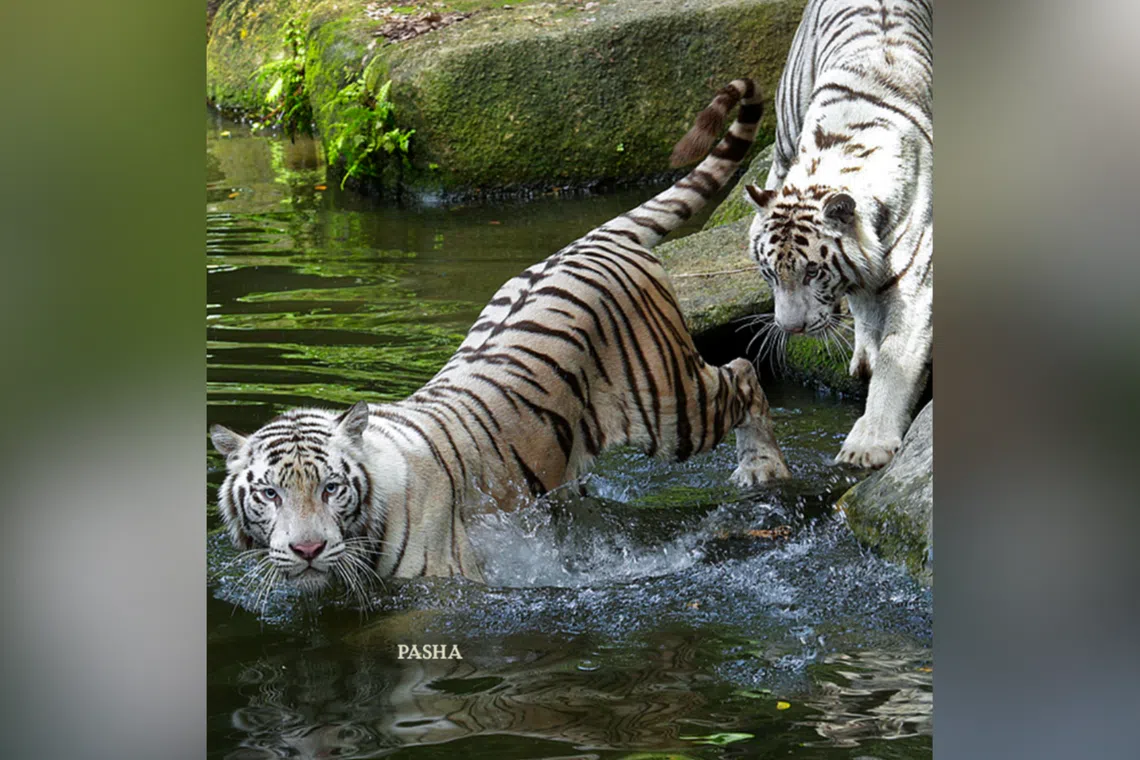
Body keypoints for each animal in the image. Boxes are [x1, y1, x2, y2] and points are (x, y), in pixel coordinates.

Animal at [210, 77, 790, 590]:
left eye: (331, 488)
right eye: (269, 495)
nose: (307, 549)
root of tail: (596, 237)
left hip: (670, 406)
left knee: (743, 373)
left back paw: (765, 469)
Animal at [741, 0, 933, 469]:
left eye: (812, 272)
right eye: (769, 274)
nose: (790, 329)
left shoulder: (917, 282)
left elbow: (896, 360)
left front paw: (867, 445)